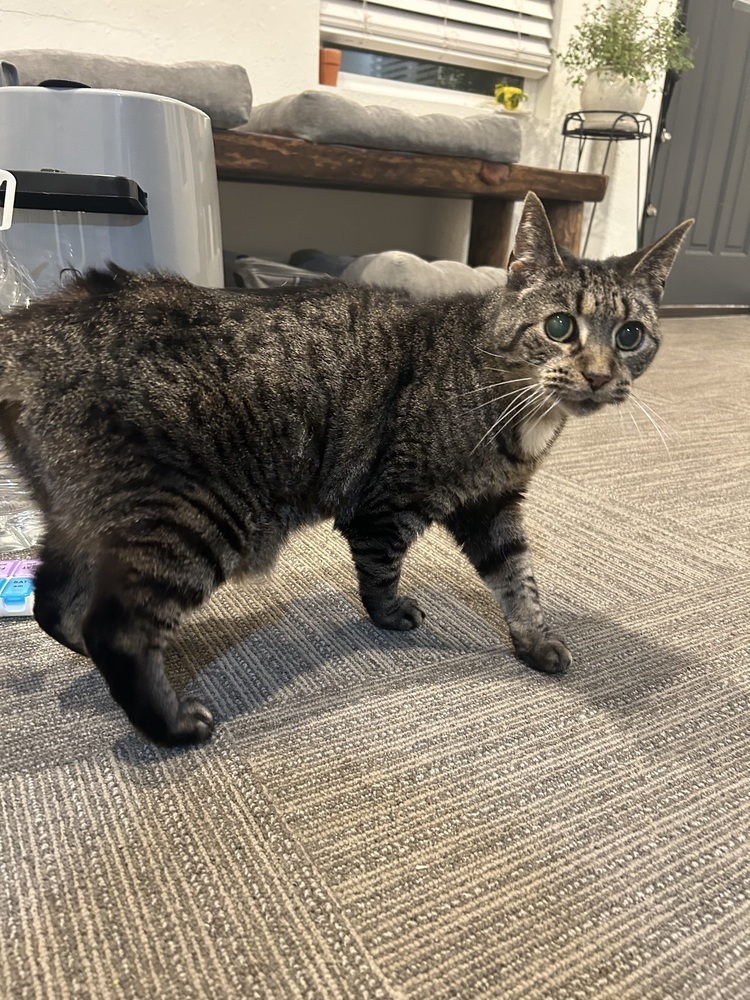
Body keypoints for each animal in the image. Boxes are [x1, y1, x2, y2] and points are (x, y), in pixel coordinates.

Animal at [0, 193, 692, 744]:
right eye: (559, 325)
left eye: (630, 336)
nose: (600, 376)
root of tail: (32, 323)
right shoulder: (388, 506)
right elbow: (381, 571)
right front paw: (390, 617)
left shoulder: (492, 505)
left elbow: (517, 578)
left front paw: (534, 640)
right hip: (196, 517)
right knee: (116, 628)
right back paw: (171, 724)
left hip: (87, 521)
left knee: (53, 601)